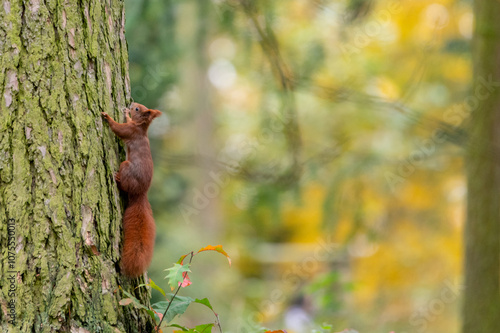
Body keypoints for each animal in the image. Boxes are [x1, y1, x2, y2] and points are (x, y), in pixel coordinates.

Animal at [101, 102, 162, 276]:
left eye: (137, 109)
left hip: (126, 166)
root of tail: (140, 193)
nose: (132, 104)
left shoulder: (130, 131)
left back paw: (117, 180)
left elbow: (118, 129)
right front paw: (125, 114)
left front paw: (107, 117)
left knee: (124, 185)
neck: (141, 127)